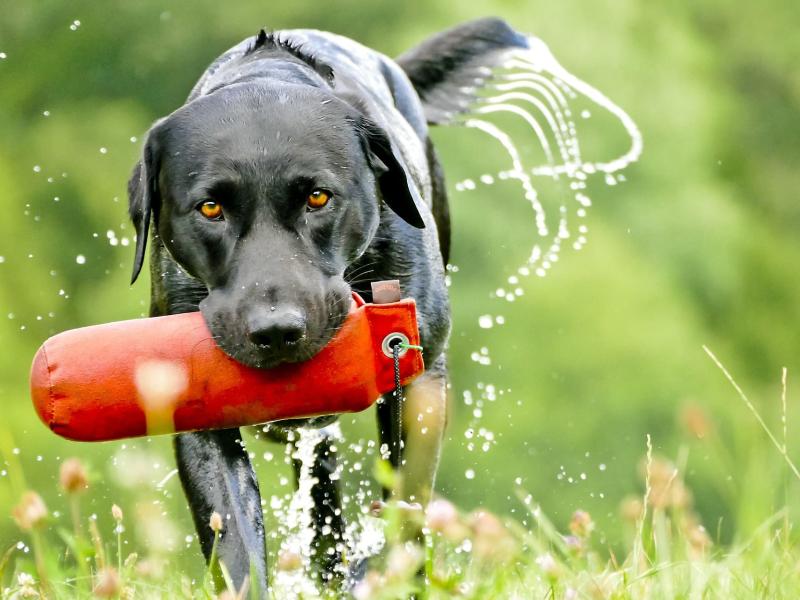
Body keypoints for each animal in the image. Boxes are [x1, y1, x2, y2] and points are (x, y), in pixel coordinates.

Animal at [128, 16, 532, 592]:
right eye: (210, 208)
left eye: (318, 197)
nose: (276, 331)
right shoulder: (198, 417)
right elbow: (234, 545)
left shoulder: (419, 381)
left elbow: (405, 508)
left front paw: (386, 573)